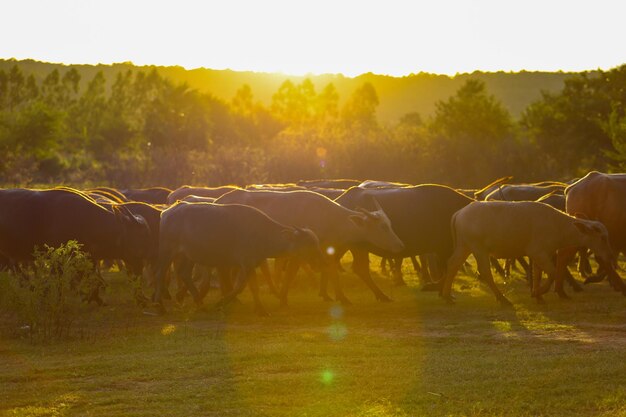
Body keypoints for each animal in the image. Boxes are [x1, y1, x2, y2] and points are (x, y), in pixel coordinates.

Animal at [216, 188, 404, 302]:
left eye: (389, 224)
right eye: (382, 227)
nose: (400, 245)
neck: (330, 218)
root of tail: (219, 200)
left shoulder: (326, 250)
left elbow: (332, 271)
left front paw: (339, 297)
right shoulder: (298, 253)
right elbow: (290, 274)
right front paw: (283, 298)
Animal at [442, 200, 612, 304]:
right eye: (603, 238)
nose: (607, 256)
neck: (558, 225)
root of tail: (460, 213)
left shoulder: (539, 255)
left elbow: (538, 274)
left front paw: (539, 297)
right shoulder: (539, 253)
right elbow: (553, 273)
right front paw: (538, 293)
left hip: (464, 246)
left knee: (453, 264)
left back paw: (447, 296)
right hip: (479, 249)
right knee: (484, 271)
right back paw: (503, 299)